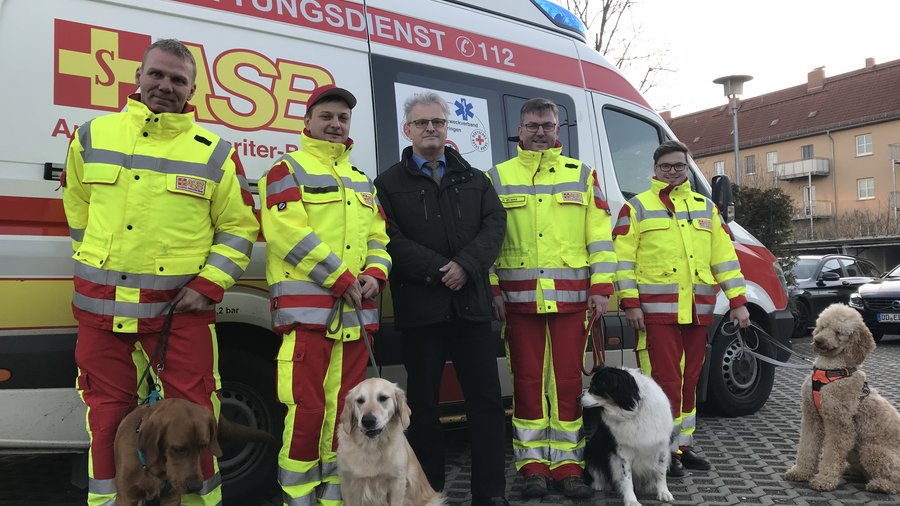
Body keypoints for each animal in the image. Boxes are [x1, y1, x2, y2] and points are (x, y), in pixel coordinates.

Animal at [780, 302, 900, 492]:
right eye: (823, 326)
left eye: (838, 332)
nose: (818, 340)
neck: (831, 371)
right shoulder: (811, 417)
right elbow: (807, 447)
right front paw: (800, 472)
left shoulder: (840, 425)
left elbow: (831, 454)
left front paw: (824, 479)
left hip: (871, 450)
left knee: (895, 482)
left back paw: (880, 484)